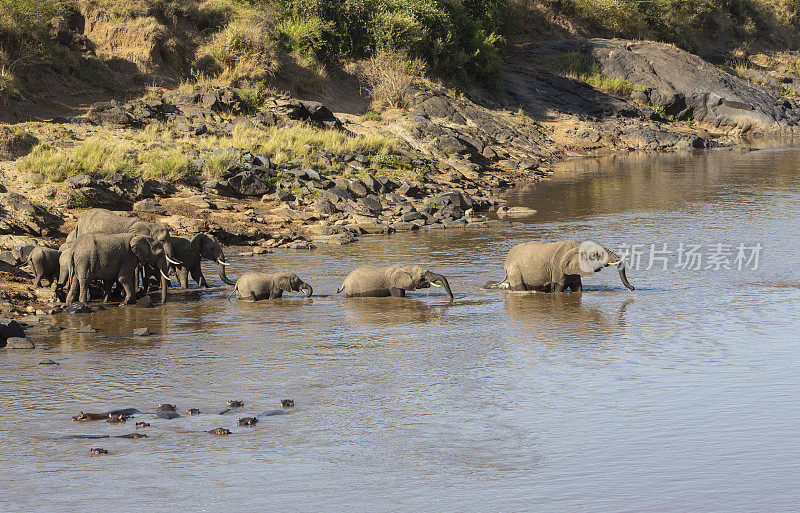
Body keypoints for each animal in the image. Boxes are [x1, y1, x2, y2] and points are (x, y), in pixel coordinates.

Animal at [488, 240, 636, 292]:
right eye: (596, 255)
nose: (633, 288)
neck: (576, 245)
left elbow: (577, 288)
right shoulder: (558, 267)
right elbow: (558, 289)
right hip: (514, 269)